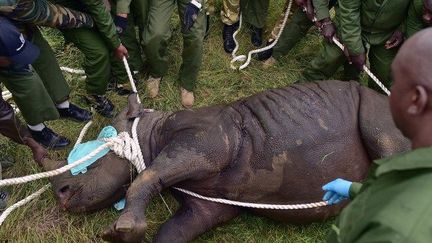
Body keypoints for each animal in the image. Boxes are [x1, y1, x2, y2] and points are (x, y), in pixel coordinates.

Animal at [40, 81, 408, 243]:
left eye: (92, 159)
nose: (61, 195)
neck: (148, 132)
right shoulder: (208, 204)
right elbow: (175, 228)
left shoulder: (208, 141)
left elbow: (144, 179)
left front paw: (122, 229)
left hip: (375, 105)